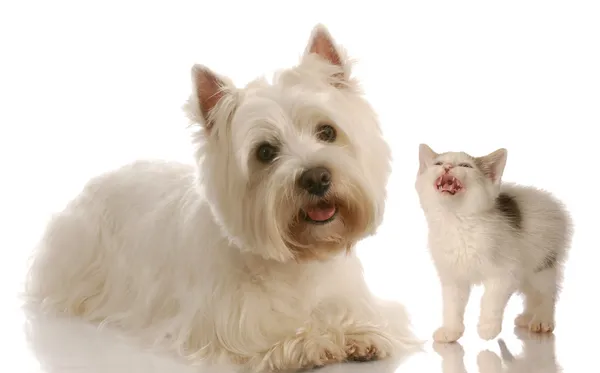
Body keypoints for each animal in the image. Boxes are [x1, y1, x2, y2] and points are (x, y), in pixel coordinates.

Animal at [23, 24, 420, 370]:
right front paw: (314, 342)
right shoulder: (229, 326)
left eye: (327, 131)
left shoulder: (356, 298)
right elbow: (277, 337)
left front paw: (361, 335)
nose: (317, 178)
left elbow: (366, 318)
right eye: (265, 152)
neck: (297, 263)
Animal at [412, 144, 572, 342]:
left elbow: (490, 298)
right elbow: (452, 304)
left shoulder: (505, 271)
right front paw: (451, 331)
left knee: (546, 292)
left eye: (465, 166)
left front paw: (488, 328)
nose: (447, 167)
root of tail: (554, 203)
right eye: (438, 163)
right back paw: (527, 317)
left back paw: (542, 319)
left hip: (542, 262)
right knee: (531, 294)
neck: (456, 221)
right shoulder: (453, 275)